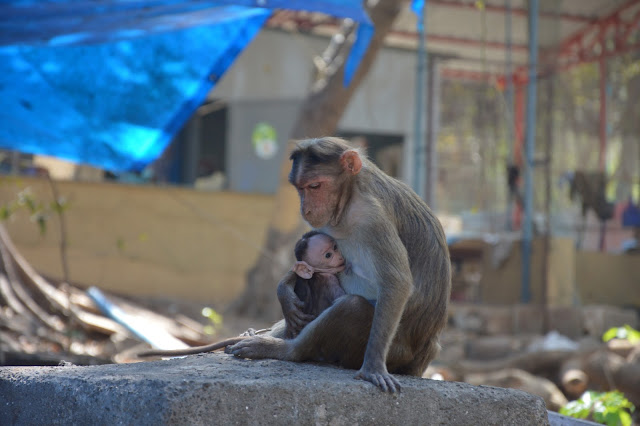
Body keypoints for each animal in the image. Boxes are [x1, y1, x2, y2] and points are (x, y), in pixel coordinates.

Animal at [228, 136, 452, 392]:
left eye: (315, 186)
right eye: (299, 188)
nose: (305, 209)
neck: (353, 193)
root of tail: (422, 358)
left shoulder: (371, 216)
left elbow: (397, 283)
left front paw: (373, 367)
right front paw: (284, 292)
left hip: (389, 351)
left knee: (351, 306)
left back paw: (286, 349)